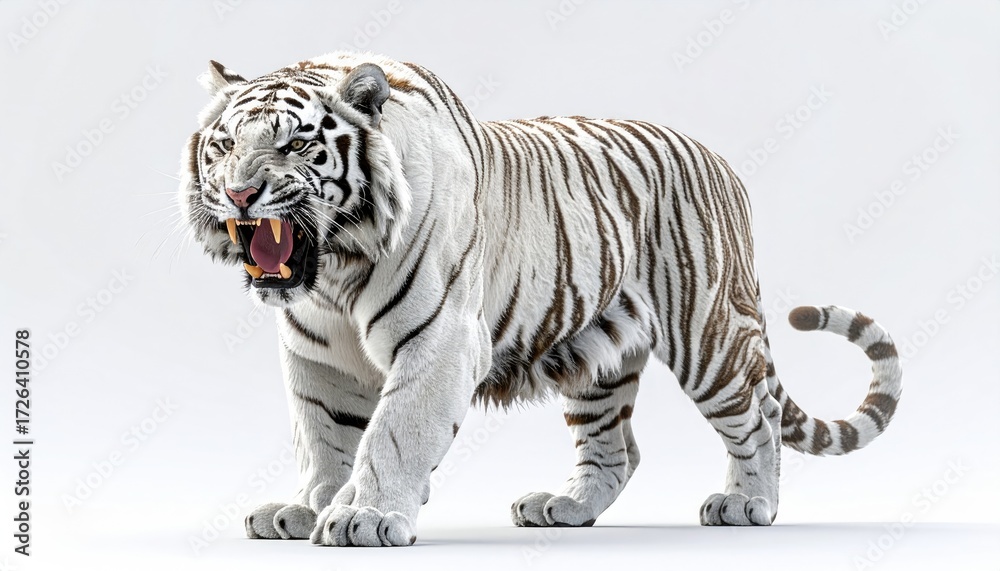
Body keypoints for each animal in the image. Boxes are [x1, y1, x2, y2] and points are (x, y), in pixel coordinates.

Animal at [178, 51, 902, 547]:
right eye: (225, 145)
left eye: (296, 143)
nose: (239, 194)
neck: (335, 271)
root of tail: (721, 162)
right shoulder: (316, 354)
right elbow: (323, 433)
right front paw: (307, 508)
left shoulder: (441, 339)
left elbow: (393, 430)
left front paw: (365, 514)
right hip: (596, 353)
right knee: (617, 449)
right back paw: (566, 507)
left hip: (706, 333)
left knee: (756, 417)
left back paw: (749, 505)